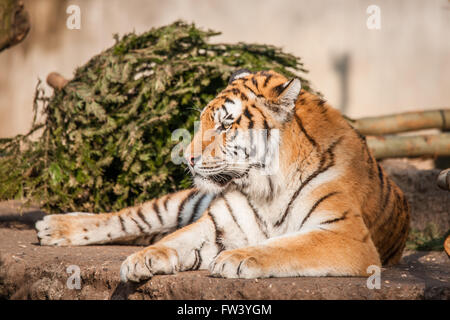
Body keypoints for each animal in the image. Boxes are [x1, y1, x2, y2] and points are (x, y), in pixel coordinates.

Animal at [35, 69, 410, 282]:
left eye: (225, 125)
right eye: (203, 120)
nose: (187, 158)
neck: (268, 187)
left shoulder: (346, 236)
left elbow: (286, 246)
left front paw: (237, 258)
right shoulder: (218, 224)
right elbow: (174, 239)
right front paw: (142, 260)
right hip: (183, 202)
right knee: (128, 218)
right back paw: (54, 227)